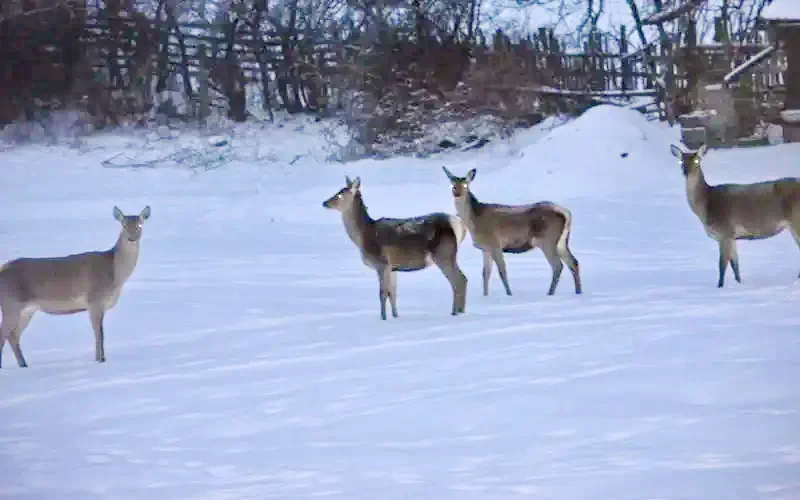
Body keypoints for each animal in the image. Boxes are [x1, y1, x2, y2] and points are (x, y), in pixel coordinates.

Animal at [0, 204, 151, 368]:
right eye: (123, 225)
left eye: (139, 225)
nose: (132, 238)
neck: (114, 275)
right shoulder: (94, 299)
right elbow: (98, 333)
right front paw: (99, 360)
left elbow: (101, 333)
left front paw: (103, 359)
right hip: (11, 303)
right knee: (4, 334)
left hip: (27, 309)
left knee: (13, 335)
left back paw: (24, 365)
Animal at [322, 176, 468, 320]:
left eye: (340, 194)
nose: (324, 203)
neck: (363, 236)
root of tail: (458, 225)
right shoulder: (393, 268)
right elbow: (393, 294)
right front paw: (395, 316)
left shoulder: (382, 264)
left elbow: (382, 293)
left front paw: (383, 318)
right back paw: (459, 311)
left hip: (443, 254)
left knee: (459, 280)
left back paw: (456, 313)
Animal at [440, 166, 584, 296]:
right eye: (452, 185)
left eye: (465, 185)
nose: (457, 194)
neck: (474, 220)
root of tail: (566, 214)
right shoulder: (485, 248)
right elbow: (485, 273)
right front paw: (485, 296)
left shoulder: (495, 244)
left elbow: (502, 271)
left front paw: (509, 294)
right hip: (561, 241)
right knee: (574, 262)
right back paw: (578, 292)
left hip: (547, 239)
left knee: (557, 265)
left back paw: (550, 293)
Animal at [668, 143, 800, 288]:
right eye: (681, 161)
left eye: (697, 160)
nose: (686, 172)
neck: (706, 205)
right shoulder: (731, 236)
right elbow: (735, 264)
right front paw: (739, 283)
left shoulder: (725, 231)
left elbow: (722, 264)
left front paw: (719, 287)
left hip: (796, 219)